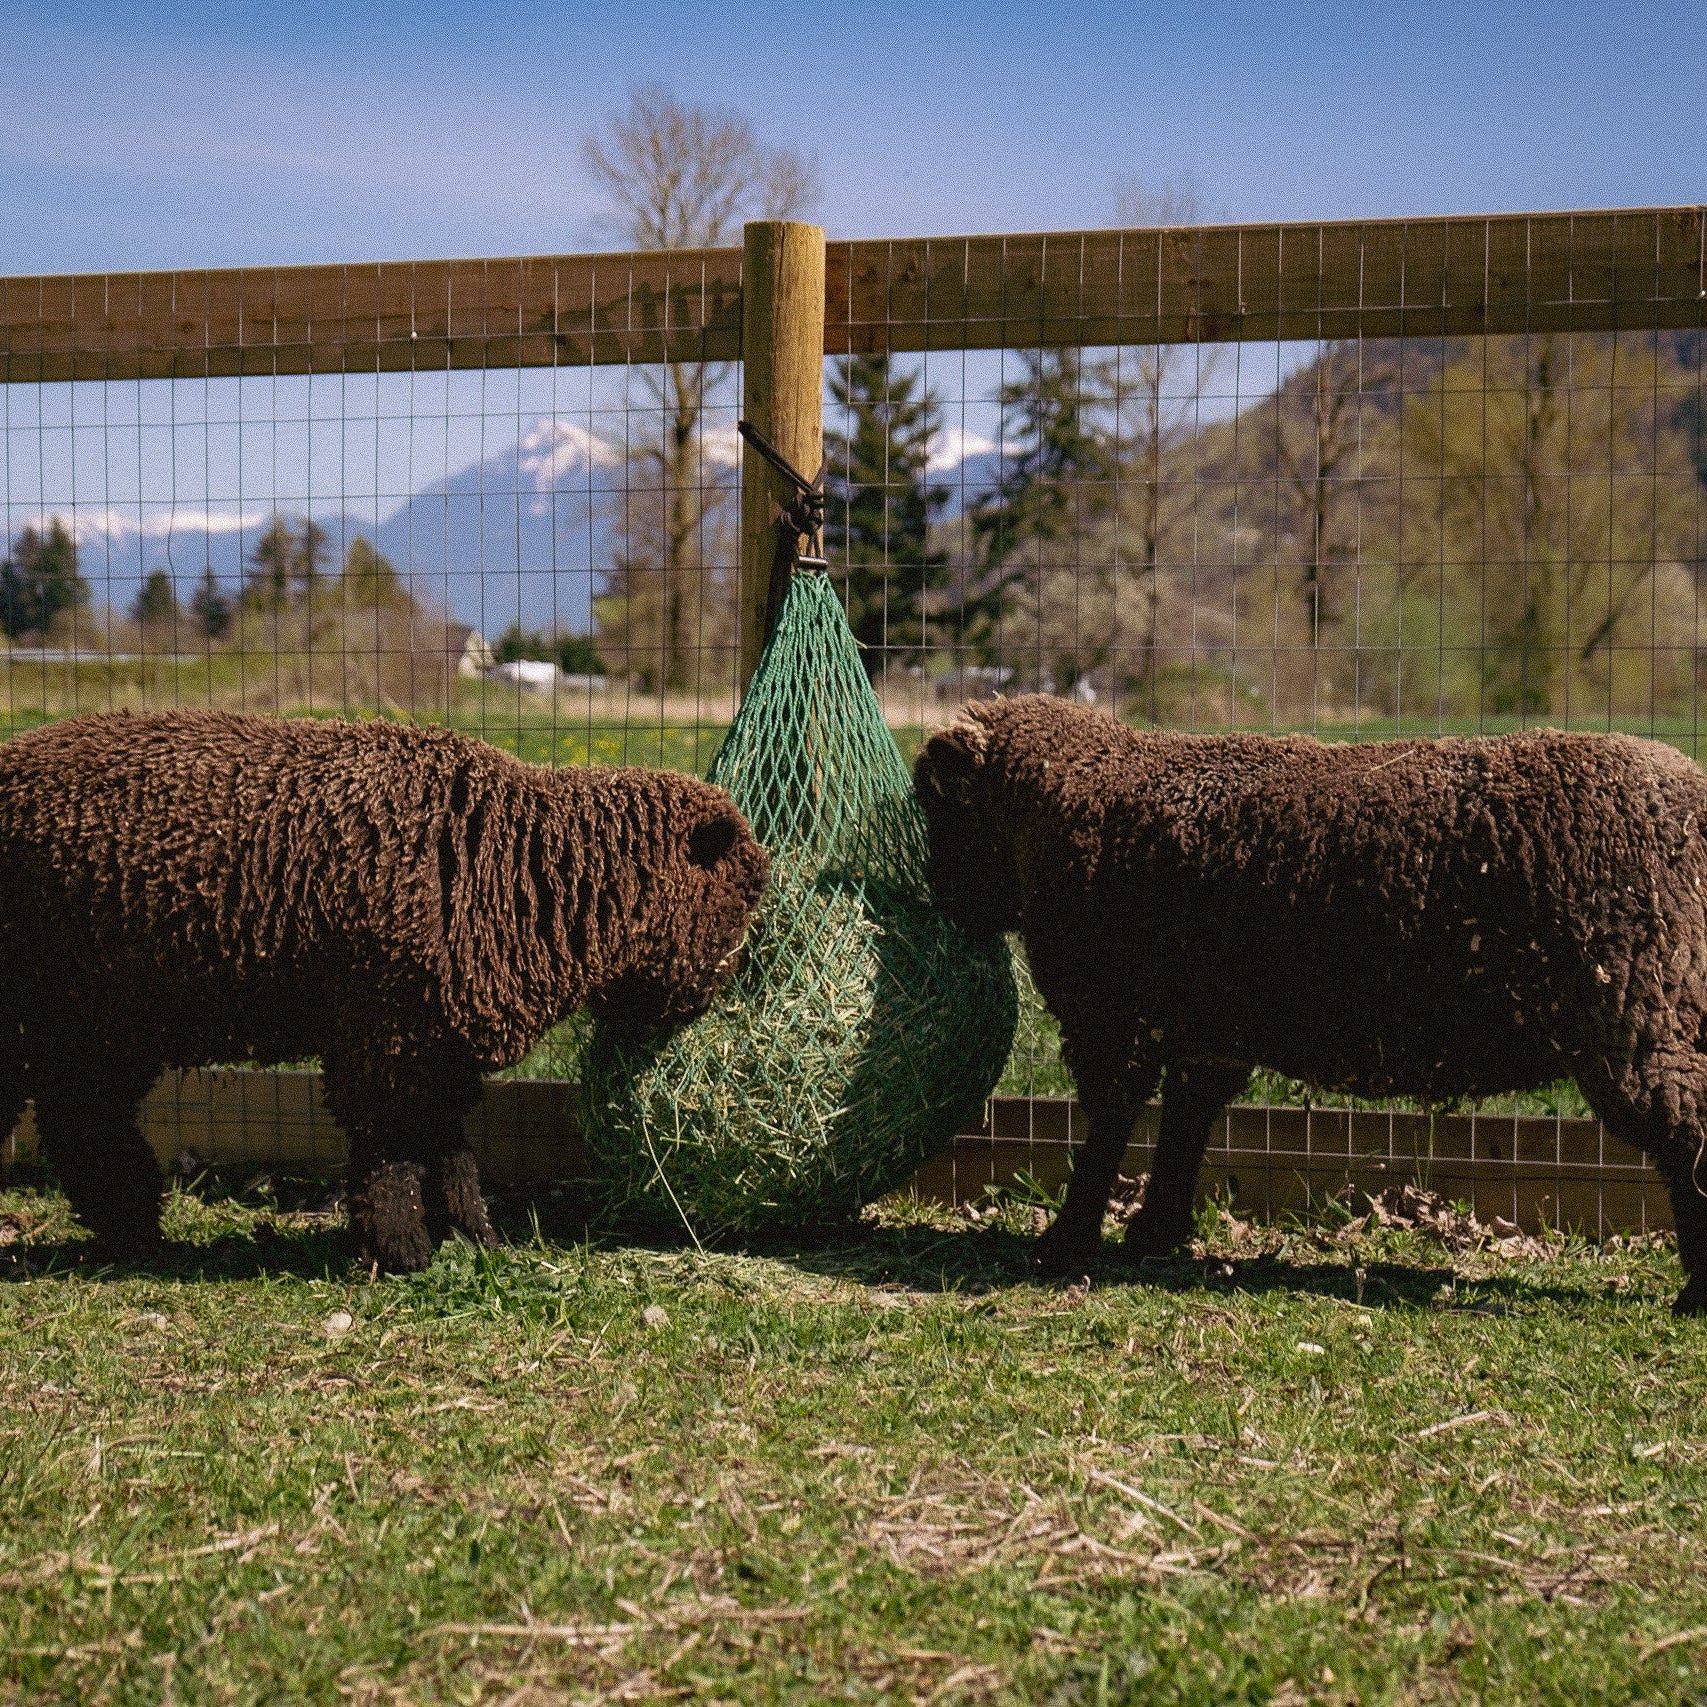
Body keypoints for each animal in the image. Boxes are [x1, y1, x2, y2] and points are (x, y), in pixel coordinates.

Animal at [0, 710, 768, 1272]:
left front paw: (475, 1239)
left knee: (84, 1119)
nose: (704, 1001)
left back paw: (135, 1231)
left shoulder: (436, 1039)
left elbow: (449, 1149)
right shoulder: (384, 1033)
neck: (520, 863)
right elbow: (393, 1148)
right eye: (740, 896)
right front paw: (402, 1251)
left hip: (102, 1021)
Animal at [915, 695, 1707, 1315]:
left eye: (941, 815)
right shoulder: (1203, 1030)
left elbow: (1108, 1130)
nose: (946, 904)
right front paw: (1153, 1232)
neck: (1073, 797)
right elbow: (1184, 1124)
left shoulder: (1112, 1015)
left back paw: (1694, 1296)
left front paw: (1065, 1243)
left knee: (1687, 1134)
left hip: (1641, 1011)